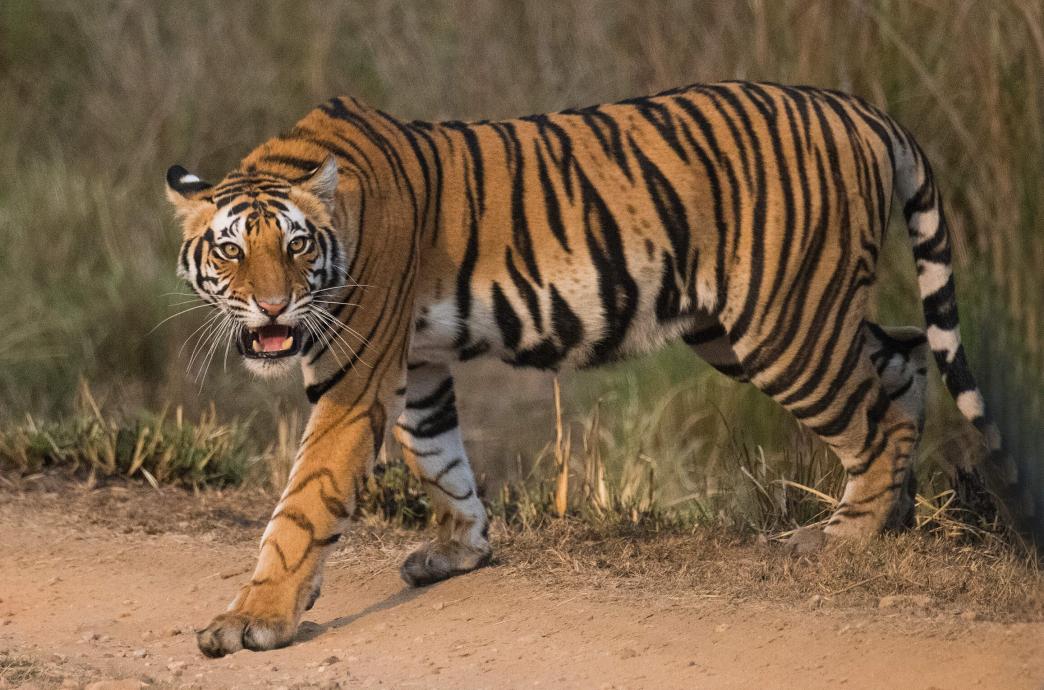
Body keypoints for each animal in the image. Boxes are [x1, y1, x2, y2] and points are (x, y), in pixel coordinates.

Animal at [165, 81, 1017, 658]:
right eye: (231, 250)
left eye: (297, 247)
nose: (273, 308)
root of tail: (861, 109)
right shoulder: (416, 362)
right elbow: (440, 458)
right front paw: (461, 550)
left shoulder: (354, 374)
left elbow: (305, 504)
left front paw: (254, 620)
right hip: (769, 321)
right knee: (902, 362)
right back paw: (892, 519)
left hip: (785, 325)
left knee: (876, 418)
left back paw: (843, 538)